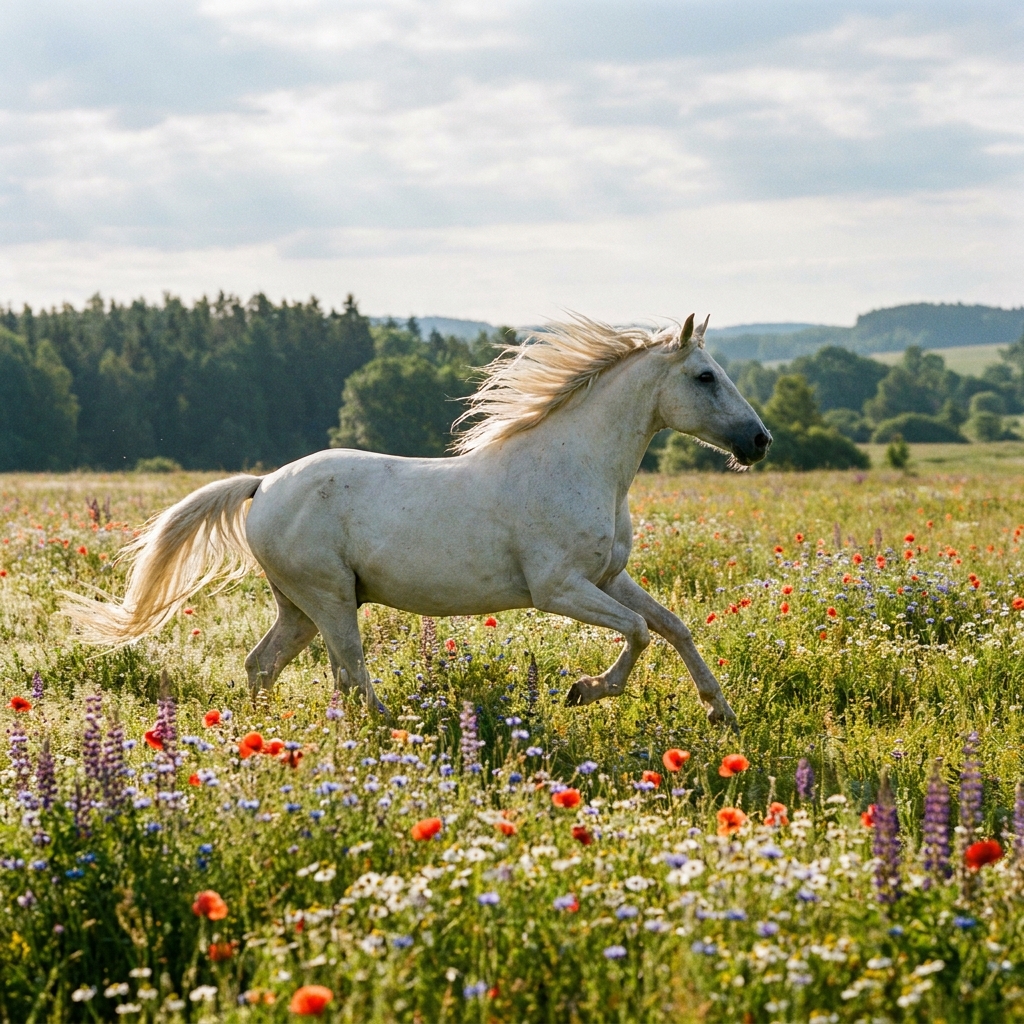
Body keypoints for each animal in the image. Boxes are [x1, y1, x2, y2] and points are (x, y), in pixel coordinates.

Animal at [63, 313, 771, 725]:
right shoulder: (559, 589)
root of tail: (263, 486)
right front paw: (584, 690)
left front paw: (721, 712)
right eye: (705, 377)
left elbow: (672, 627)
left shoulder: (607, 577)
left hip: (301, 605)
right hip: (328, 598)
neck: (575, 465)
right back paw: (392, 729)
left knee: (266, 664)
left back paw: (269, 738)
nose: (759, 442)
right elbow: (639, 633)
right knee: (350, 671)